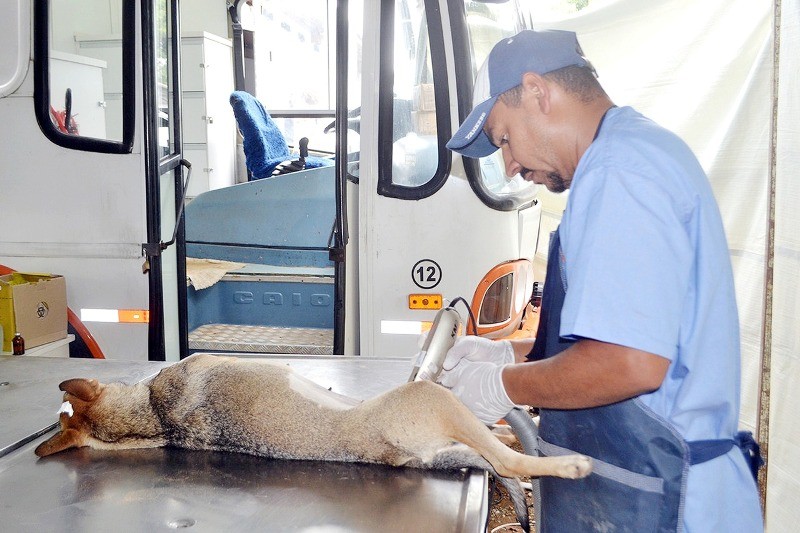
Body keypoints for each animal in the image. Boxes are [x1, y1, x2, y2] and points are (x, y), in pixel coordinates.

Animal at [36, 352, 588, 528]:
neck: (151, 417)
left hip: (453, 431)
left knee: (498, 450)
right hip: (435, 400)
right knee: (510, 462)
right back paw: (566, 465)